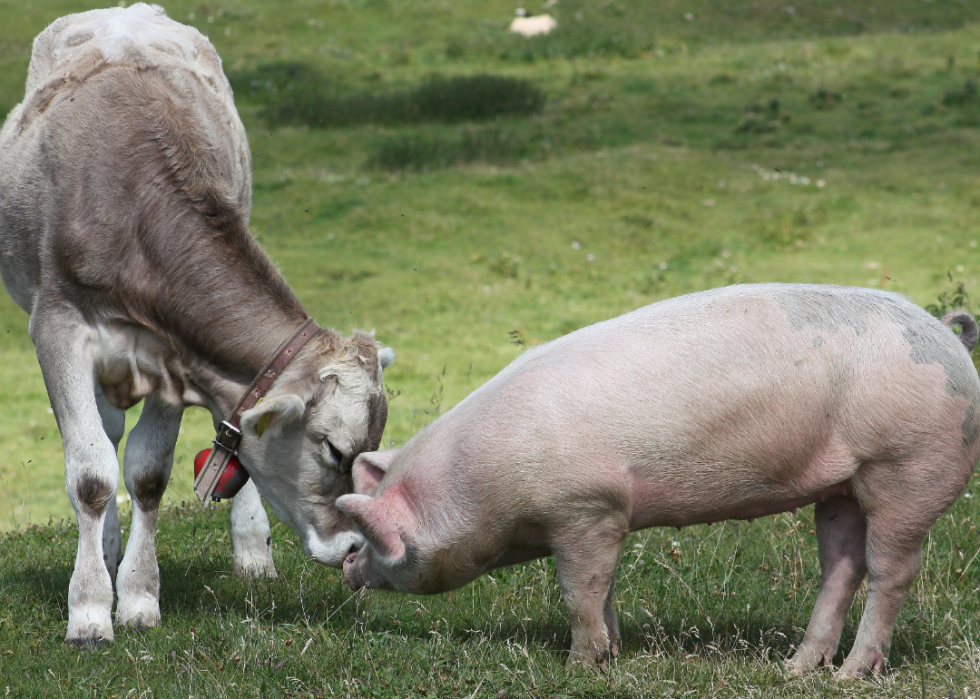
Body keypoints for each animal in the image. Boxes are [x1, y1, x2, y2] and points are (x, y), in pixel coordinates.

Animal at [0, 4, 390, 644]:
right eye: (334, 449)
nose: (356, 546)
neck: (135, 205)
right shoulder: (57, 327)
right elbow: (92, 474)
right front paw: (90, 609)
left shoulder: (177, 354)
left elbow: (149, 473)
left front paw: (137, 597)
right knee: (106, 435)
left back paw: (252, 551)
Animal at [334, 284, 976, 680]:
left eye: (377, 533)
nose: (346, 563)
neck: (487, 486)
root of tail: (947, 334)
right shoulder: (605, 520)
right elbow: (603, 588)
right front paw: (613, 654)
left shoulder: (585, 507)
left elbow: (579, 592)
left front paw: (578, 667)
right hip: (841, 490)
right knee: (842, 567)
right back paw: (794, 669)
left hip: (908, 467)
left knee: (892, 571)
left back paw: (849, 674)